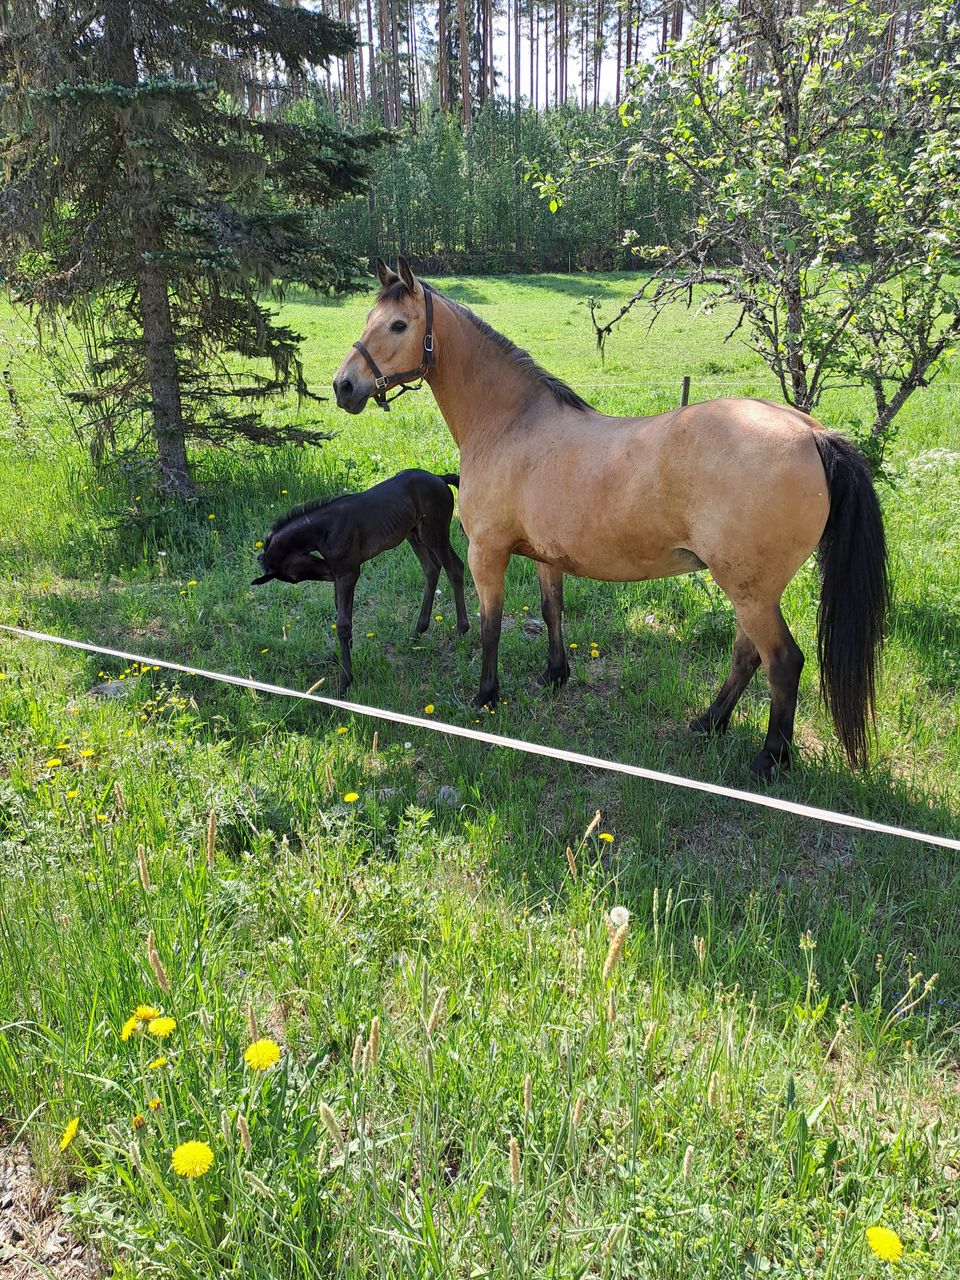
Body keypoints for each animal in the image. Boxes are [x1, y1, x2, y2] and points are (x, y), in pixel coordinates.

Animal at [252, 468, 471, 691]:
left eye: (293, 578)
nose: (328, 571)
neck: (327, 528)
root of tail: (440, 478)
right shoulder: (341, 575)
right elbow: (342, 614)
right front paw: (344, 657)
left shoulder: (347, 573)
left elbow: (342, 624)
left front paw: (344, 681)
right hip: (413, 535)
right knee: (431, 569)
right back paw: (418, 631)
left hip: (434, 534)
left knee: (455, 569)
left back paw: (461, 630)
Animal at [335, 254, 890, 773]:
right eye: (368, 318)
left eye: (398, 325)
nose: (344, 386)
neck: (511, 422)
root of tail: (812, 432)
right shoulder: (545, 556)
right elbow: (551, 611)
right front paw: (555, 676)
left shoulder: (487, 553)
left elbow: (492, 627)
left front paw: (485, 697)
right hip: (751, 590)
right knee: (747, 654)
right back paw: (708, 723)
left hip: (750, 592)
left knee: (782, 663)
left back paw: (769, 758)